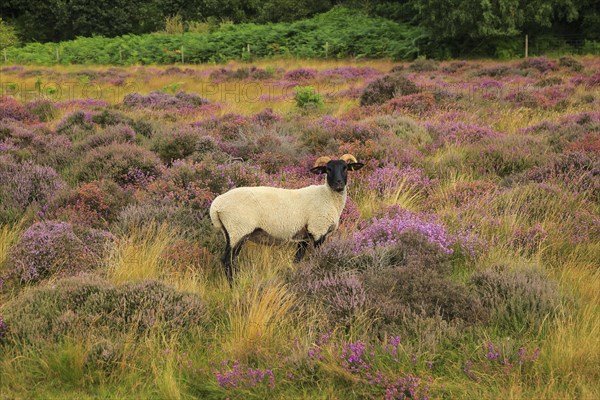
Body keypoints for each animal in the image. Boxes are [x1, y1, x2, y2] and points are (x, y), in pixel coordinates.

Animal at [209, 152, 364, 284]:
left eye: (345, 168)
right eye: (328, 169)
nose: (339, 183)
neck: (327, 196)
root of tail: (216, 206)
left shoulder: (304, 236)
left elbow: (298, 258)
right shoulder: (318, 230)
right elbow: (317, 256)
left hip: (233, 233)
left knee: (232, 259)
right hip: (237, 230)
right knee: (227, 260)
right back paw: (233, 285)